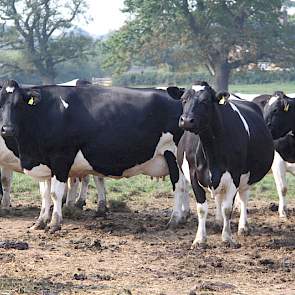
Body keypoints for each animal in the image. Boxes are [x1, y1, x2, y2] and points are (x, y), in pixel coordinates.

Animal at [0, 80, 190, 234]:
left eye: (18, 104)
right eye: (0, 104)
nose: (7, 129)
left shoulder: (61, 158)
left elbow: (55, 193)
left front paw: (54, 224)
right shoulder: (42, 162)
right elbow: (44, 194)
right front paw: (40, 222)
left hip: (173, 156)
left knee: (179, 186)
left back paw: (174, 220)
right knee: (184, 185)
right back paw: (183, 217)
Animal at [166, 82, 276, 246]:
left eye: (205, 101)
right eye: (183, 100)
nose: (186, 120)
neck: (210, 150)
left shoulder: (235, 176)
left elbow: (227, 208)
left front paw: (227, 237)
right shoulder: (193, 175)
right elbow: (202, 209)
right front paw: (200, 239)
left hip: (246, 177)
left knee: (243, 197)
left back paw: (243, 227)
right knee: (219, 197)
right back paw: (218, 223)